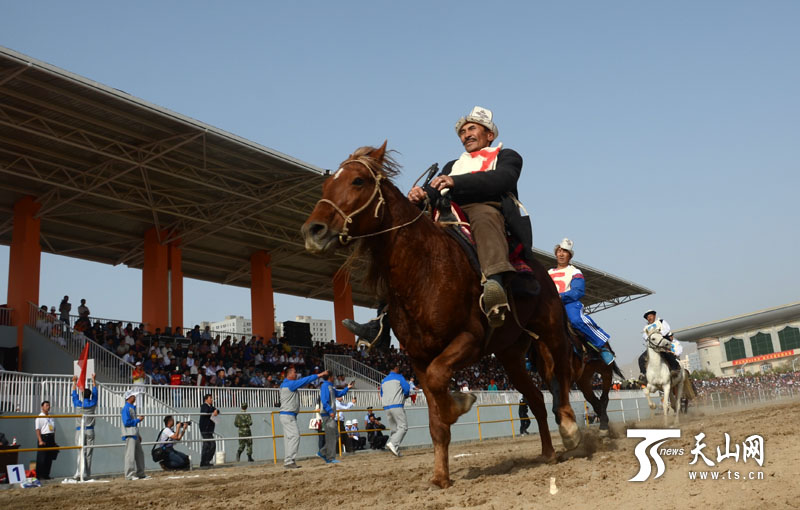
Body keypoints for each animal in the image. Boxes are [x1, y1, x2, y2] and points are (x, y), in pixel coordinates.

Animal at [300, 142, 580, 486]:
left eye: (357, 181)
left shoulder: (469, 340)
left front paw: (460, 402)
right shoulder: (420, 359)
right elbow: (435, 418)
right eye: (327, 184)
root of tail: (545, 272)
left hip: (551, 331)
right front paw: (440, 476)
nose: (313, 230)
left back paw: (569, 429)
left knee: (562, 375)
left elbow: (439, 386)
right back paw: (548, 452)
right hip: (511, 355)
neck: (426, 269)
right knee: (537, 400)